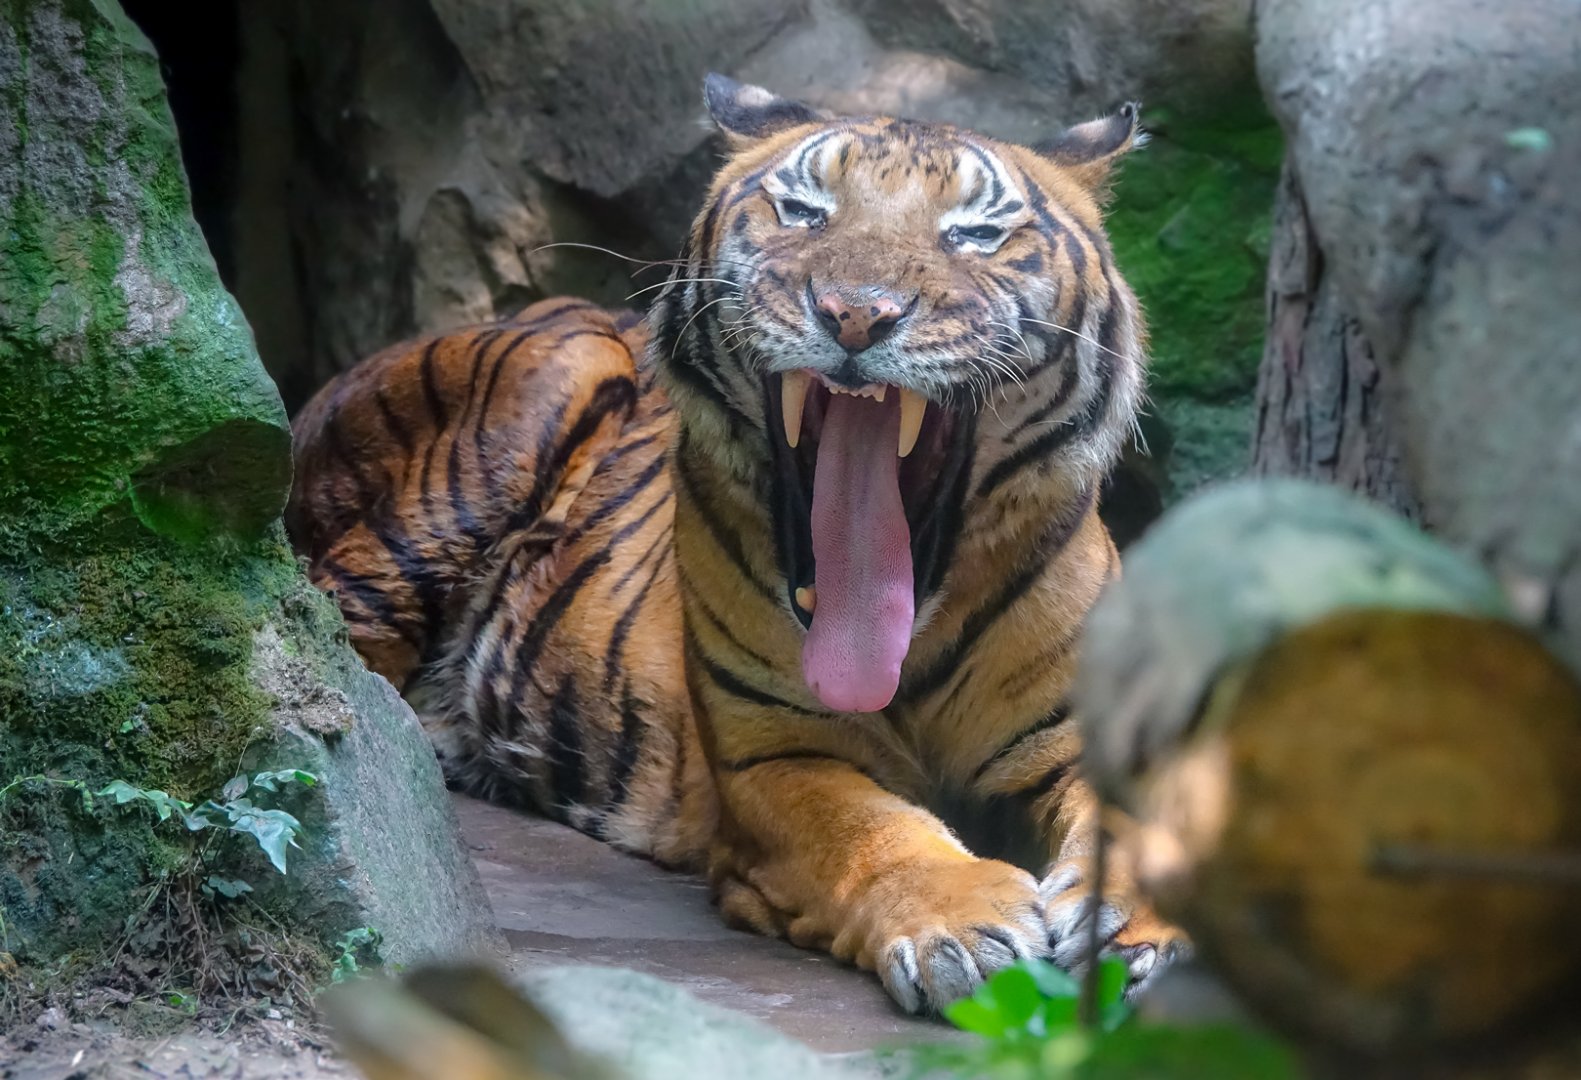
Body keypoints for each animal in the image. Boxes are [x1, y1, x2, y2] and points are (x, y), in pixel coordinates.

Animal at [286, 73, 1186, 1014]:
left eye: (975, 233)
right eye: (802, 211)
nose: (855, 313)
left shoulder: (1085, 735)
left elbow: (1155, 822)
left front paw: (1129, 928)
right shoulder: (777, 755)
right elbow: (869, 827)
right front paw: (965, 929)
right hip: (535, 400)